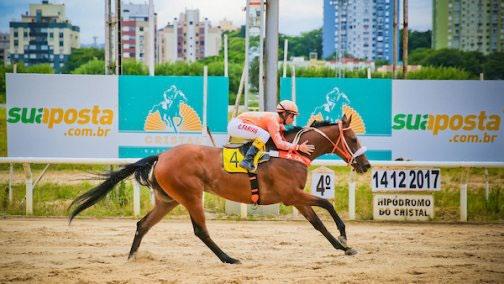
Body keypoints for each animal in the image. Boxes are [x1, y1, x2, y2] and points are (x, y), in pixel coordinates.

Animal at [69, 115, 370, 264]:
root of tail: (162, 156)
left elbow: (318, 223)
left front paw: (344, 248)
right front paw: (344, 237)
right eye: (354, 139)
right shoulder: (291, 195)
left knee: (142, 224)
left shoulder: (296, 199)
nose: (366, 165)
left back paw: (132, 257)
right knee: (200, 230)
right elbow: (328, 205)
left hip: (168, 200)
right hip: (191, 195)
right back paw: (229, 258)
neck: (289, 154)